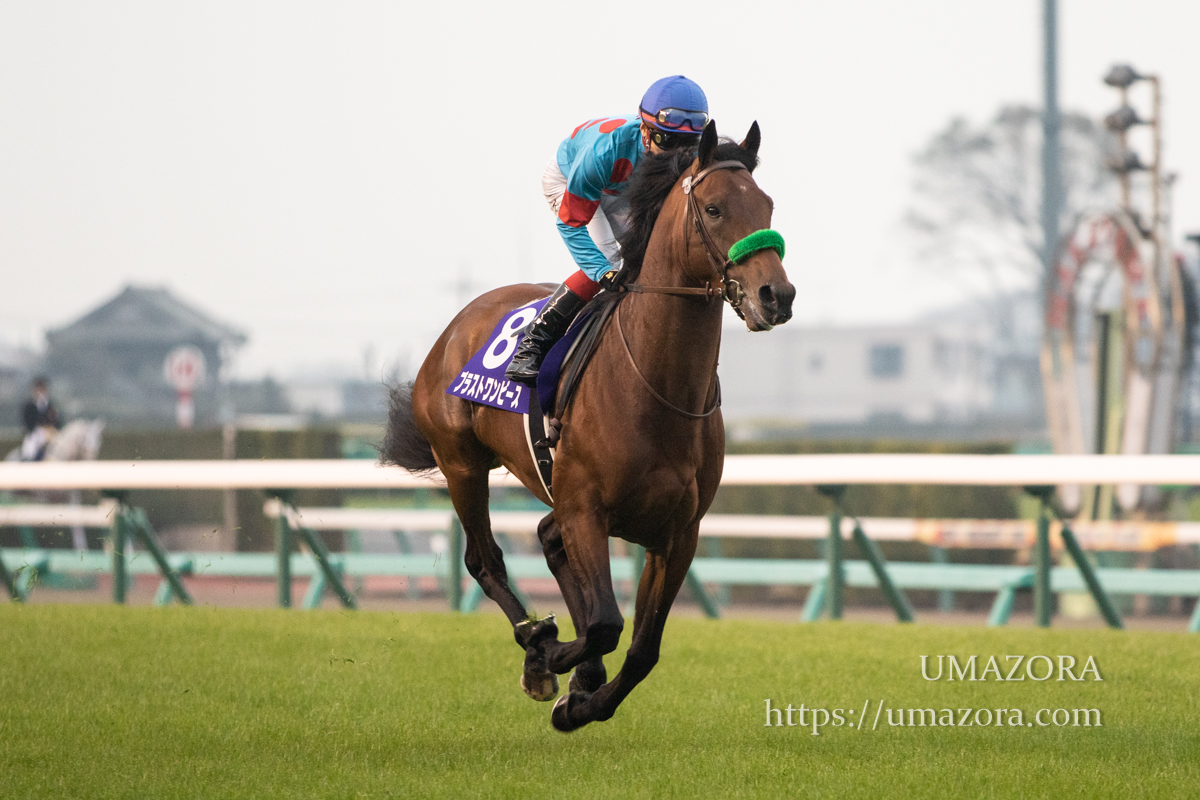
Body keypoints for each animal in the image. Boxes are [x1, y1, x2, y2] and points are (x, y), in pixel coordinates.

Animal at [386, 120, 796, 734]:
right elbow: (605, 623)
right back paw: (535, 643)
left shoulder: (678, 533)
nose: (777, 295)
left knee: (548, 540)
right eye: (716, 209)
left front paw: (583, 701)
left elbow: (643, 648)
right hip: (461, 464)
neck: (657, 388)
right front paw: (550, 653)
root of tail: (460, 322)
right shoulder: (587, 509)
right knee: (486, 559)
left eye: (767, 205)